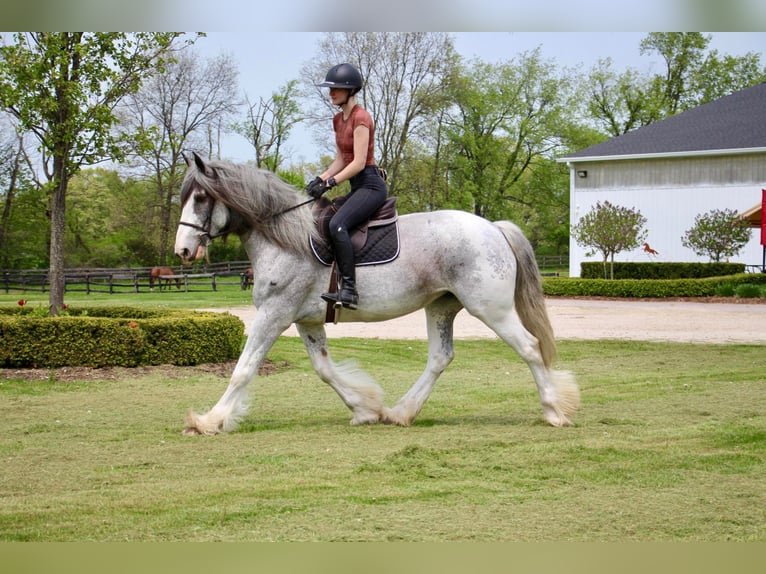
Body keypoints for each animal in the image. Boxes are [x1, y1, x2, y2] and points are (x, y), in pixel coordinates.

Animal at [176, 153, 584, 436]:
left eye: (201, 198)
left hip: (491, 308)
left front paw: (210, 420)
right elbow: (325, 370)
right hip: (441, 306)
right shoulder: (306, 320)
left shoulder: (274, 314)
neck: (286, 238)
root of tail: (494, 228)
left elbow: (243, 370)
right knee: (440, 357)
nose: (182, 251)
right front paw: (365, 409)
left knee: (529, 347)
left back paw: (553, 410)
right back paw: (401, 412)